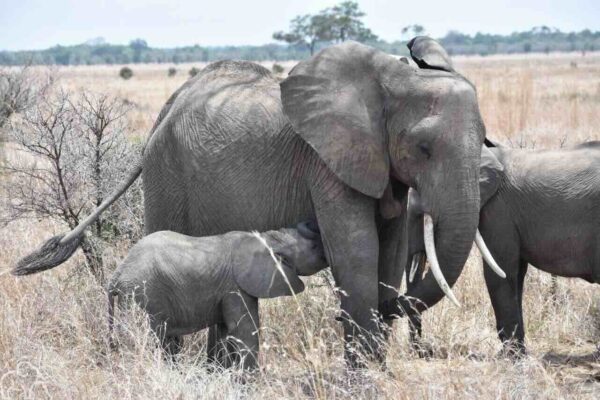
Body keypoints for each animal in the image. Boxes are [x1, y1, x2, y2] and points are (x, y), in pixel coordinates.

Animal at [107, 222, 324, 368]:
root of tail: (117, 274)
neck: (268, 238)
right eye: (313, 247)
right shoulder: (235, 287)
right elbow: (245, 332)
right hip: (142, 294)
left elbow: (225, 332)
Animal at [384, 141, 600, 356]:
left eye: (418, 214)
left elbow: (499, 273)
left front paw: (511, 356)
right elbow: (515, 275)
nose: (424, 351)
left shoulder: (498, 211)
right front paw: (514, 353)